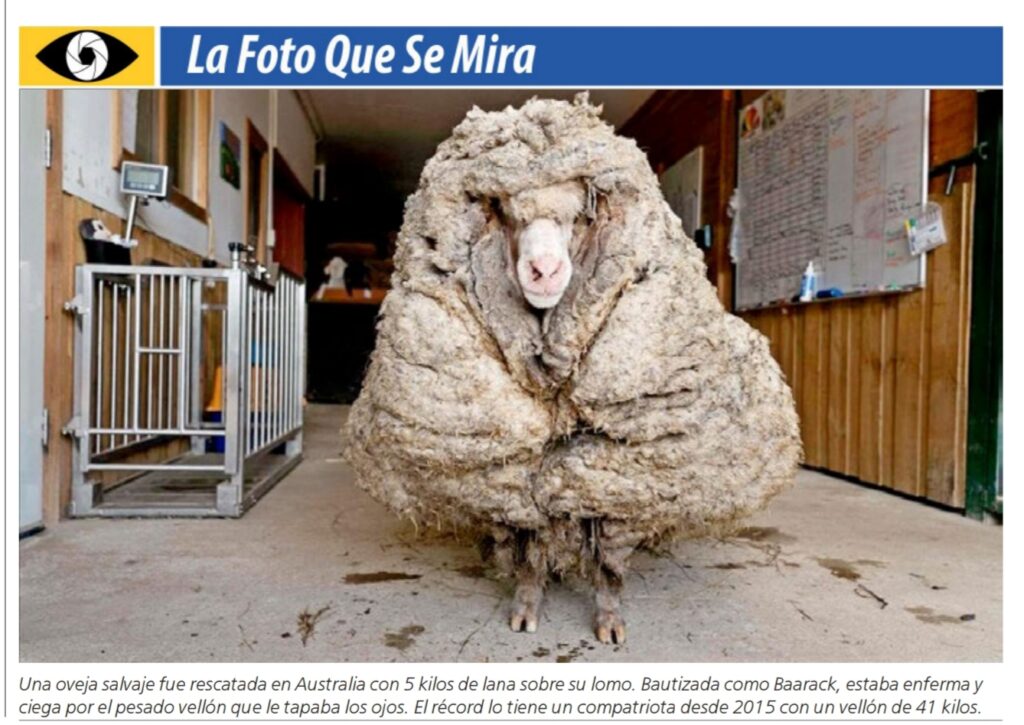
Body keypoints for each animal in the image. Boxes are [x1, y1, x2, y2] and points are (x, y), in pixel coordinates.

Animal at [344, 94, 801, 644]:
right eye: (506, 213)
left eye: (579, 218)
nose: (544, 271)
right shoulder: (511, 476)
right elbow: (527, 549)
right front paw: (526, 606)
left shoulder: (615, 470)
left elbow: (607, 556)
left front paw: (608, 619)